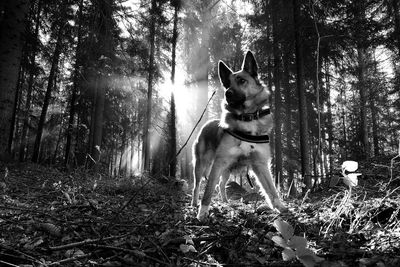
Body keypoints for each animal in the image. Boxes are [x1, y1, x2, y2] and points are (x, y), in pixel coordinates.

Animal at [191, 50, 288, 222]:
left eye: (242, 81)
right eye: (227, 84)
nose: (227, 93)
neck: (246, 117)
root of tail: (207, 124)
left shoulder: (260, 164)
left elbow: (271, 189)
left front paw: (280, 207)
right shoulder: (219, 163)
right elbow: (208, 190)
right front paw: (203, 212)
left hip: (226, 170)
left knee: (221, 185)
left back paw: (225, 201)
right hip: (202, 165)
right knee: (197, 186)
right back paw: (195, 204)